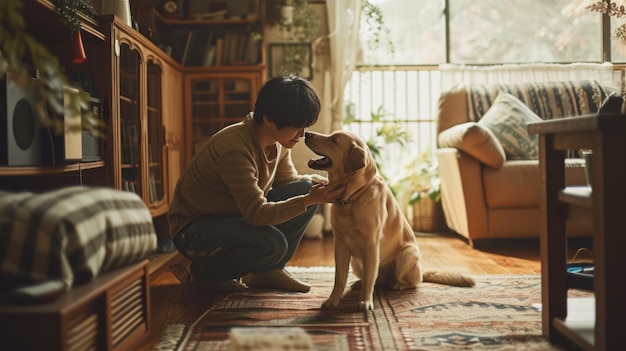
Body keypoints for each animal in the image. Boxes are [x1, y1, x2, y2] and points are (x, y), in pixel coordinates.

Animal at [304, 131, 472, 310]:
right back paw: (359, 283)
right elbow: (339, 278)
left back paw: (397, 285)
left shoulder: (371, 245)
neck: (352, 198)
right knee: (375, 280)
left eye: (334, 140)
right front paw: (333, 300)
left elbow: (369, 277)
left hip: (406, 254)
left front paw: (365, 301)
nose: (306, 134)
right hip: (357, 262)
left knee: (411, 282)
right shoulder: (341, 245)